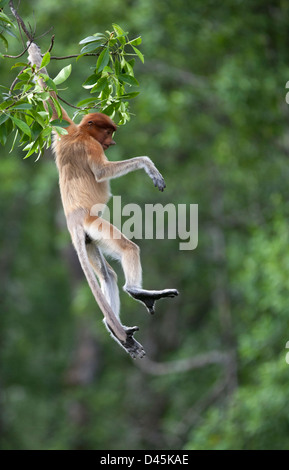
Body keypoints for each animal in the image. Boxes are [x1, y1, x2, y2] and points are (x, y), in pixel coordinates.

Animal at [28, 45, 178, 360]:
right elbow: (100, 172)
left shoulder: (65, 130)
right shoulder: (89, 145)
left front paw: (34, 52)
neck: (81, 133)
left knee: (107, 275)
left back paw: (117, 329)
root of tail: (74, 219)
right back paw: (136, 292)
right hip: (94, 225)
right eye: (108, 132)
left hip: (87, 241)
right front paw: (150, 168)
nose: (112, 143)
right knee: (128, 249)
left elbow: (50, 101)